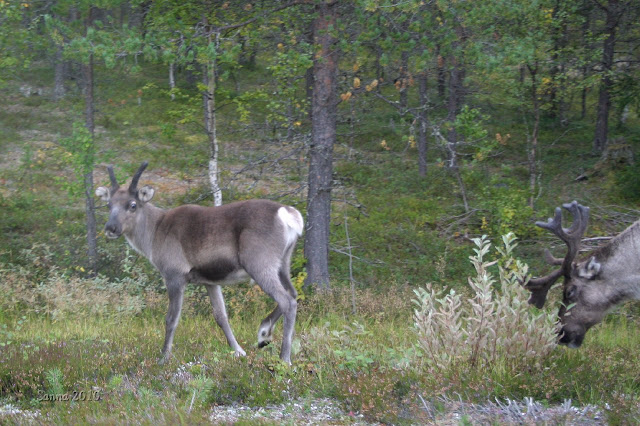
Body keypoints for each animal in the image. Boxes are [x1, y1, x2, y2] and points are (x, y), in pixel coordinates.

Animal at [95, 162, 304, 364]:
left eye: (132, 205)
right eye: (108, 204)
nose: (111, 228)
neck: (154, 233)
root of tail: (288, 215)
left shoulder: (174, 275)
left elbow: (171, 318)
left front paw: (163, 358)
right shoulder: (209, 281)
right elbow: (221, 316)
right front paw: (238, 351)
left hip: (259, 264)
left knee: (287, 301)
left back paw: (284, 358)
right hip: (283, 263)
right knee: (293, 294)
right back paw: (264, 333)